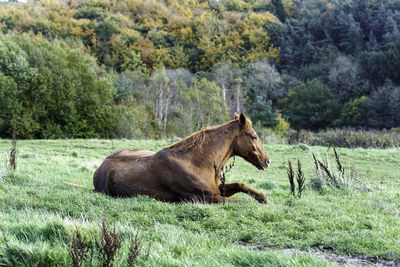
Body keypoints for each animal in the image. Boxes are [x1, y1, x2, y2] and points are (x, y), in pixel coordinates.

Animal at [92, 112, 270, 203]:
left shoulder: (218, 190)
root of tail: (100, 168)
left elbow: (240, 185)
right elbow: (241, 202)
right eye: (253, 136)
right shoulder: (208, 198)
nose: (267, 161)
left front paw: (263, 197)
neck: (196, 162)